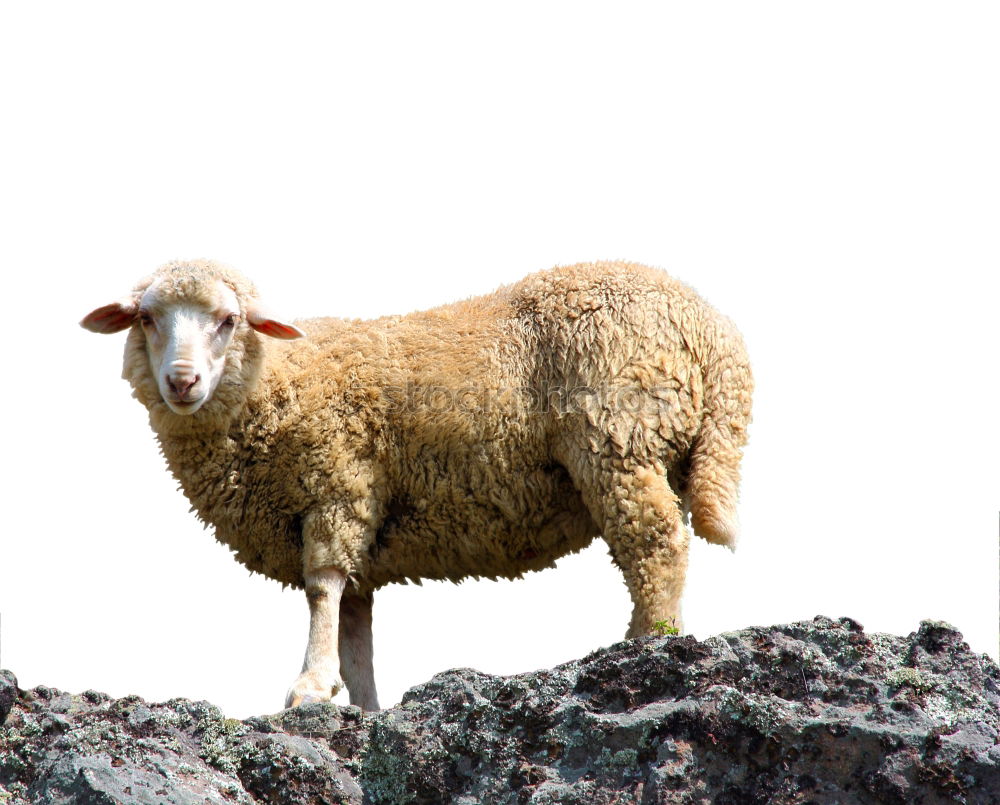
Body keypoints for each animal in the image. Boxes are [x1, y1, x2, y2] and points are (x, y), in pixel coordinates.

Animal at [82, 258, 752, 708]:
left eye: (228, 320)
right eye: (146, 318)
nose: (182, 382)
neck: (277, 384)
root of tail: (714, 333)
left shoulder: (339, 486)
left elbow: (322, 590)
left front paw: (309, 686)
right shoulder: (359, 522)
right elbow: (356, 626)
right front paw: (363, 705)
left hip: (618, 437)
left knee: (656, 544)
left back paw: (645, 647)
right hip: (660, 447)